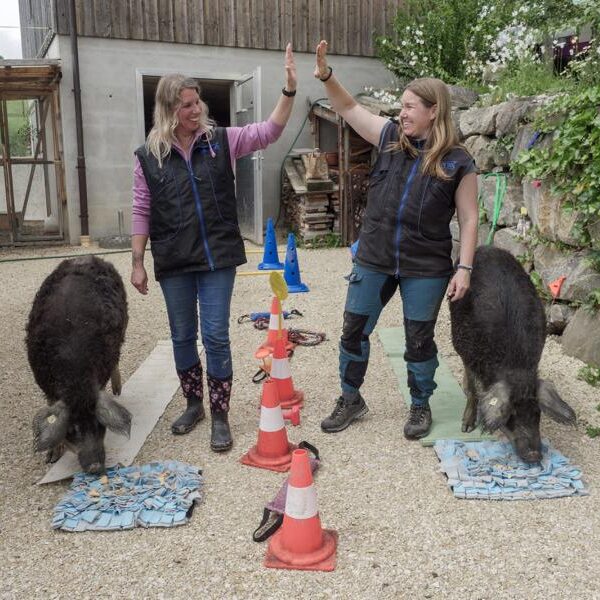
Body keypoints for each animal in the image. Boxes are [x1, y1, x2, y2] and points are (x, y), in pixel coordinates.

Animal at [26, 255, 131, 473]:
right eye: (73, 429)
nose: (95, 466)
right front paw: (51, 458)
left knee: (117, 359)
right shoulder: (46, 386)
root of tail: (86, 257)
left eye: (99, 425)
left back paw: (117, 391)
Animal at [449, 245, 576, 463]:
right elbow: (473, 391)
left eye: (537, 413)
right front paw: (466, 428)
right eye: (512, 414)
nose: (534, 455)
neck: (515, 364)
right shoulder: (468, 351)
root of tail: (488, 247)